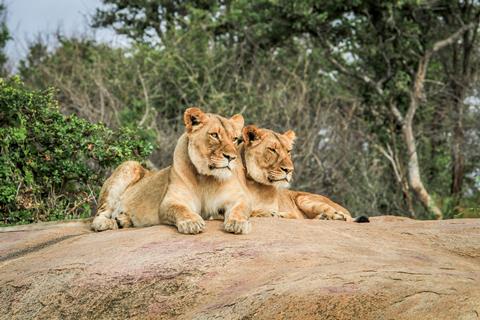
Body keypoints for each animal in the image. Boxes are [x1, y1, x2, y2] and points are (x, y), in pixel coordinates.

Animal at [91, 107, 253, 235]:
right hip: (129, 165)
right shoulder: (170, 201)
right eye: (214, 135)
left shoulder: (239, 198)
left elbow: (240, 209)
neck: (207, 178)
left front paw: (238, 223)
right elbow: (180, 209)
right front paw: (191, 223)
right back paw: (107, 223)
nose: (232, 157)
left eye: (235, 139)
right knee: (99, 215)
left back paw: (123, 219)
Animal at [242, 125, 370, 222]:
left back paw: (331, 216)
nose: (289, 170)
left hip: (304, 199)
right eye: (272, 150)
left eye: (288, 151)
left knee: (344, 216)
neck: (254, 184)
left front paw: (275, 214)